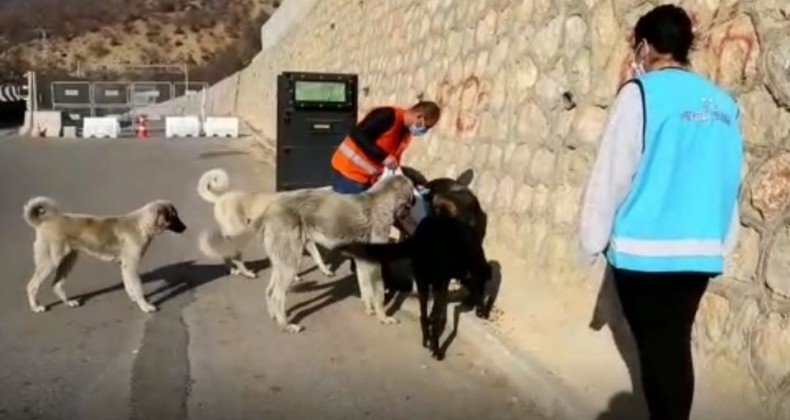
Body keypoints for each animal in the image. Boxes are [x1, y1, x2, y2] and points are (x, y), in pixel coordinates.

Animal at [200, 168, 336, 282]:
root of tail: (220, 198)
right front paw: (294, 277)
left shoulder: (306, 240)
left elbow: (318, 257)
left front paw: (326, 271)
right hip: (239, 233)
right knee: (235, 257)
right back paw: (247, 273)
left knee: (226, 255)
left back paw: (234, 270)